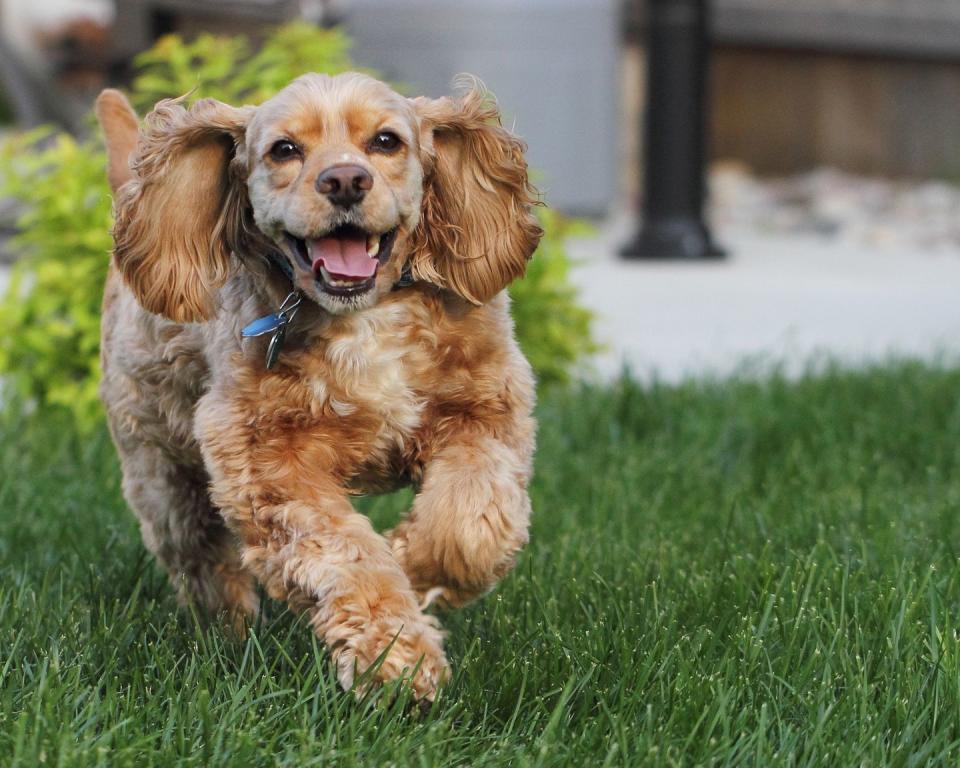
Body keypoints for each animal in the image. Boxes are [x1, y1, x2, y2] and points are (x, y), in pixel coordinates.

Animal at [94, 73, 544, 704]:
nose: (346, 180)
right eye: (285, 150)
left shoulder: (486, 408)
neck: (364, 317)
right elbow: (342, 553)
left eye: (386, 141)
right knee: (202, 560)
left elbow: (471, 521)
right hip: (160, 467)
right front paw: (395, 659)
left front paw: (416, 566)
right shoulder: (264, 459)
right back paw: (231, 636)